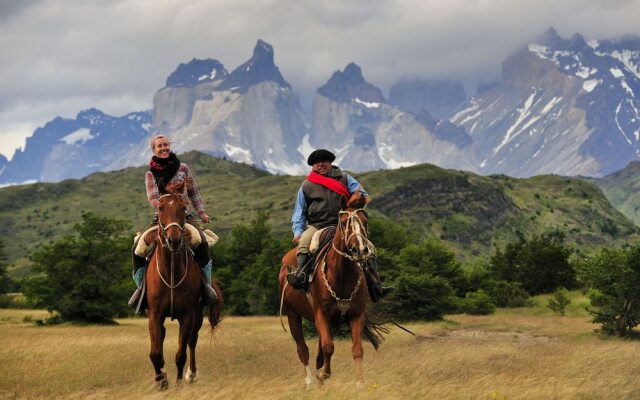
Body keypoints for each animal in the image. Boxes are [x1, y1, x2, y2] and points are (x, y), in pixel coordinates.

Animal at [146, 185, 224, 390]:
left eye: (183, 208)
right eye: (160, 208)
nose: (174, 240)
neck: (171, 272)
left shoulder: (188, 314)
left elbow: (181, 354)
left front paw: (179, 383)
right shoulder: (154, 313)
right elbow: (155, 353)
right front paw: (161, 380)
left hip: (197, 314)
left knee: (192, 341)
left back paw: (191, 375)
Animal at [276, 192, 384, 390]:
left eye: (365, 220)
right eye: (344, 221)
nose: (360, 250)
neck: (342, 274)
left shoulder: (355, 314)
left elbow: (357, 349)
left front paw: (359, 383)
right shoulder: (321, 313)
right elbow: (328, 347)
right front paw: (324, 374)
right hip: (292, 314)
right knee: (302, 348)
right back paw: (310, 381)